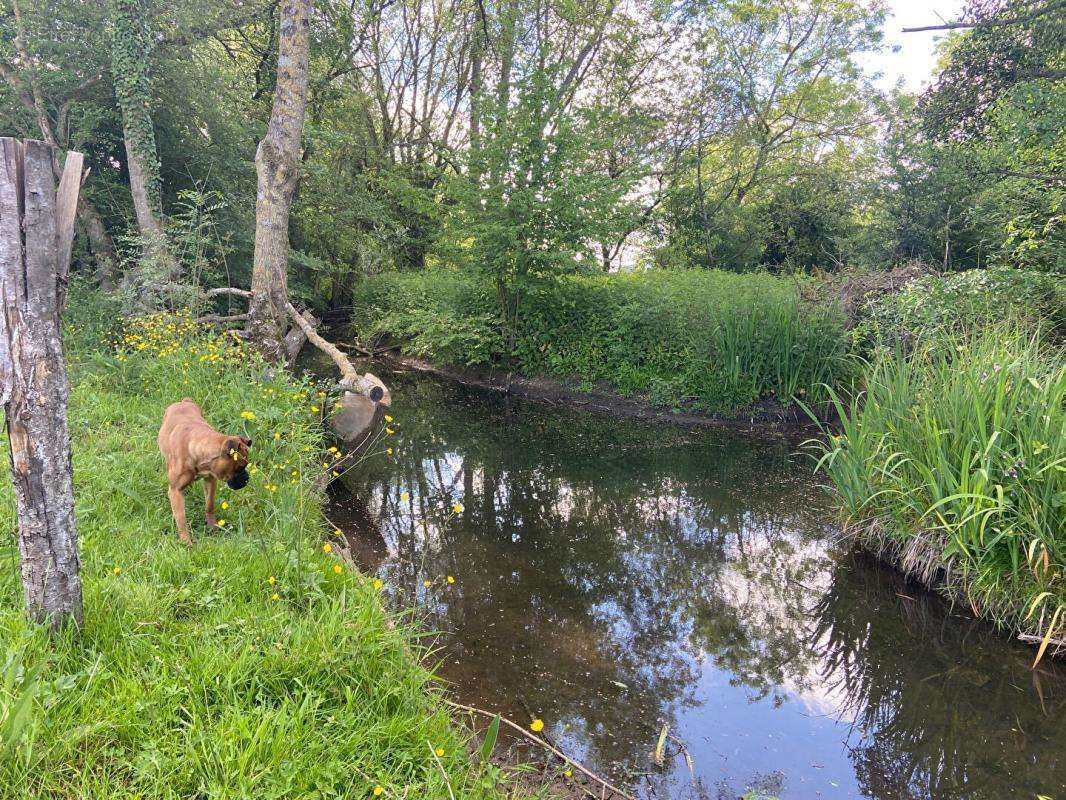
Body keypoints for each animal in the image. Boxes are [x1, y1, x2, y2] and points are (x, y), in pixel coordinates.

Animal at [157, 398, 251, 546]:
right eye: (240, 468)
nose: (247, 478)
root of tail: (183, 401)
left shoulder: (210, 480)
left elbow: (209, 505)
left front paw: (212, 527)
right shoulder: (175, 491)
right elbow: (181, 518)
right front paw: (186, 541)